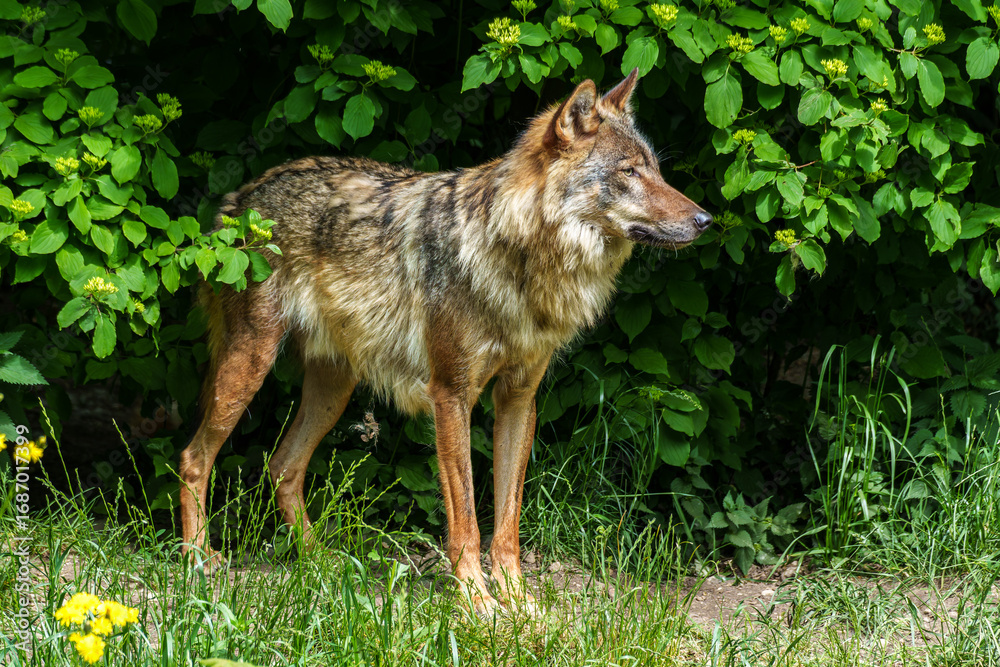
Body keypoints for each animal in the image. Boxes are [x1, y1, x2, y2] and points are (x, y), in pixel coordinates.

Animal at [179, 69, 712, 616]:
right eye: (630, 172)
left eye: (656, 170)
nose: (705, 221)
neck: (518, 258)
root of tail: (240, 198)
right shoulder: (451, 396)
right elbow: (467, 521)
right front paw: (478, 602)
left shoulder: (518, 400)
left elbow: (507, 522)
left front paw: (518, 599)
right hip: (251, 364)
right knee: (194, 458)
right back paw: (199, 558)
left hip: (333, 390)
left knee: (283, 466)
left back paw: (321, 562)